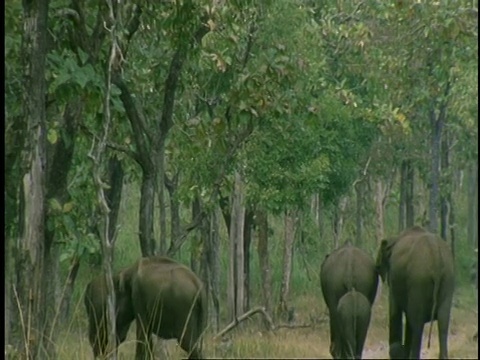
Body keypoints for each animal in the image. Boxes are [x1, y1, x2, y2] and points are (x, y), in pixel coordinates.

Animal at [376, 225, 458, 358]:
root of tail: (435, 256)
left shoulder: (394, 278)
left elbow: (395, 310)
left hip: (418, 280)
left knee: (417, 324)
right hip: (448, 278)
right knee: (443, 321)